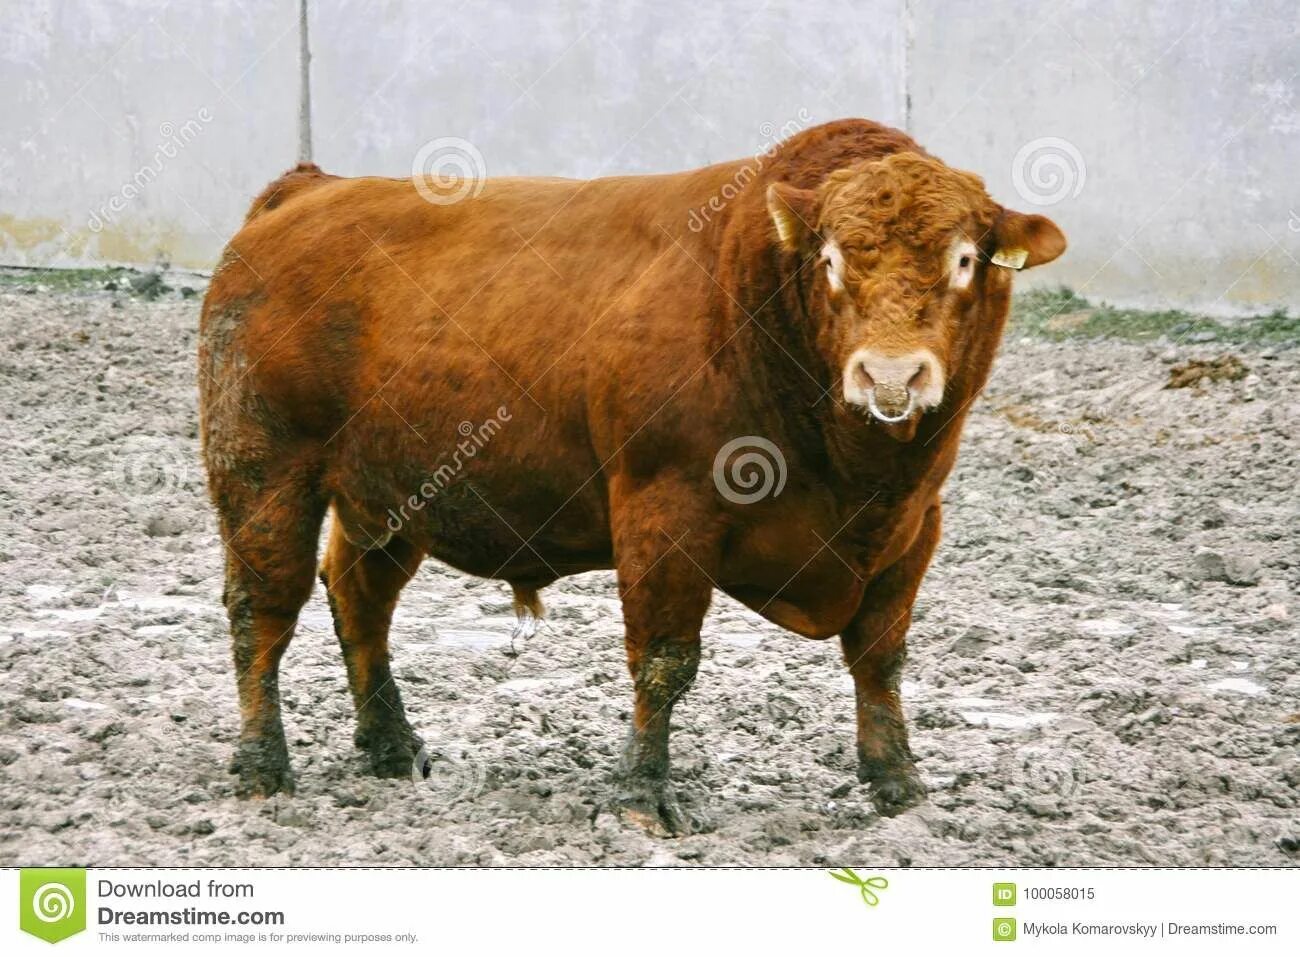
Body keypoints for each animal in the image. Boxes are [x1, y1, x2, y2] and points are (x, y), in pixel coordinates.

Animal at [198, 118, 1064, 834]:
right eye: (829, 259)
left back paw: (389, 745)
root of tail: (312, 188)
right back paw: (262, 764)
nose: (890, 375)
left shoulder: (916, 523)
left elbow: (880, 654)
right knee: (262, 611)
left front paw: (898, 785)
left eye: (963, 259)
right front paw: (642, 794)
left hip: (390, 493)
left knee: (359, 598)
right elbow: (665, 659)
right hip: (263, 470)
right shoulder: (664, 508)